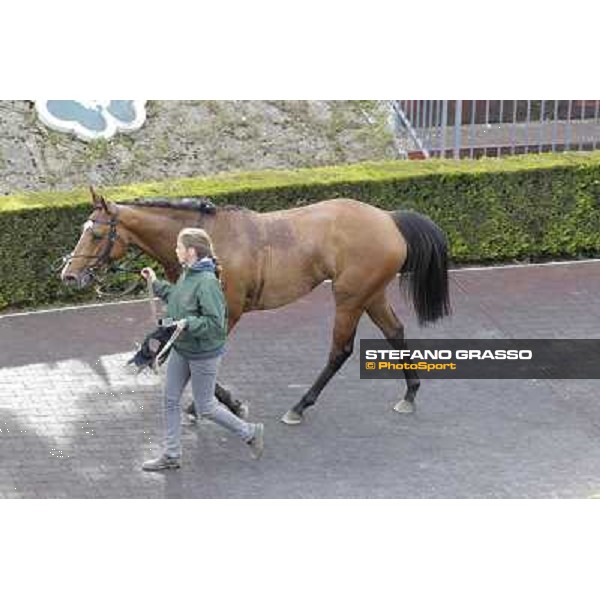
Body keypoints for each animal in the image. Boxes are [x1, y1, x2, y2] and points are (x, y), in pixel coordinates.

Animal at [59, 190, 450, 424]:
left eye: (96, 234)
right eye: (83, 229)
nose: (69, 275)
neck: (207, 244)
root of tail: (388, 218)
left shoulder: (225, 314)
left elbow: (205, 361)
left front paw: (226, 404)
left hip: (350, 297)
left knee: (340, 350)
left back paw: (300, 406)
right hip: (371, 294)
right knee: (395, 332)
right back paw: (410, 393)